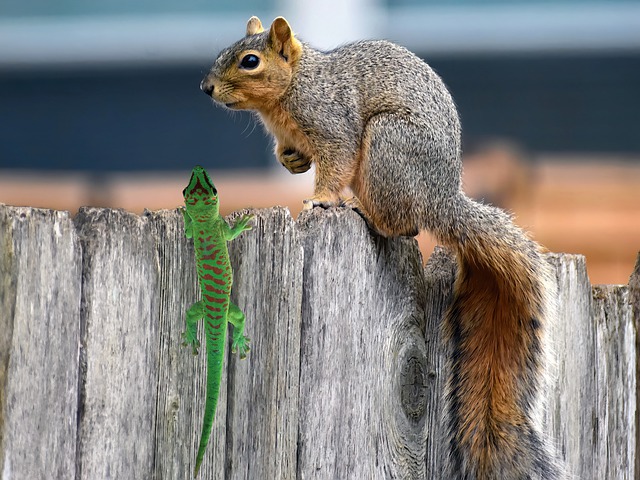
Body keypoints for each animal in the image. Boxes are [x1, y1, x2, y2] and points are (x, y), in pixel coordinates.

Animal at [201, 15, 564, 480]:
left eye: (250, 61)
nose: (206, 87)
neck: (294, 87)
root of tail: (441, 199)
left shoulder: (333, 123)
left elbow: (336, 161)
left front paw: (321, 199)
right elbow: (293, 155)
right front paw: (292, 162)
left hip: (388, 148)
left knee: (402, 223)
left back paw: (364, 211)